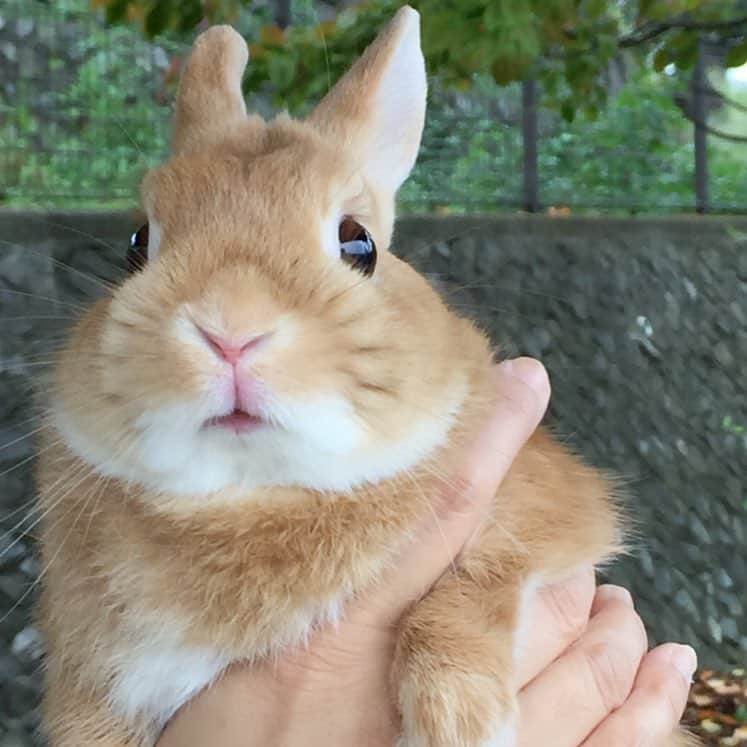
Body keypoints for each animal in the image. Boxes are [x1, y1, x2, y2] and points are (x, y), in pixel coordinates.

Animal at [36, 7, 698, 747]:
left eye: (359, 243)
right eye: (135, 247)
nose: (230, 330)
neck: (251, 497)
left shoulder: (549, 517)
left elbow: (481, 574)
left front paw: (461, 718)